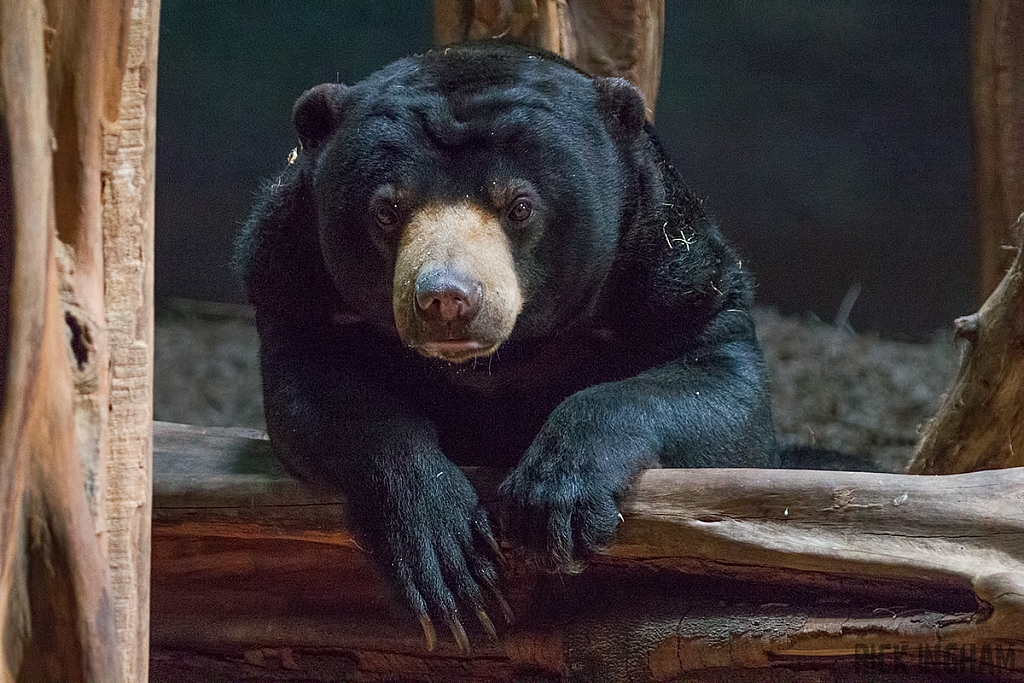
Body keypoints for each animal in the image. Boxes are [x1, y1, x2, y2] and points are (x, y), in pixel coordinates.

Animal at [232, 41, 774, 651]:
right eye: (387, 210)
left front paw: (554, 505)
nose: (446, 298)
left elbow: (720, 388)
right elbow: (323, 395)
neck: (496, 359)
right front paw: (448, 557)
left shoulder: (673, 267)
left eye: (519, 206)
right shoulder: (289, 275)